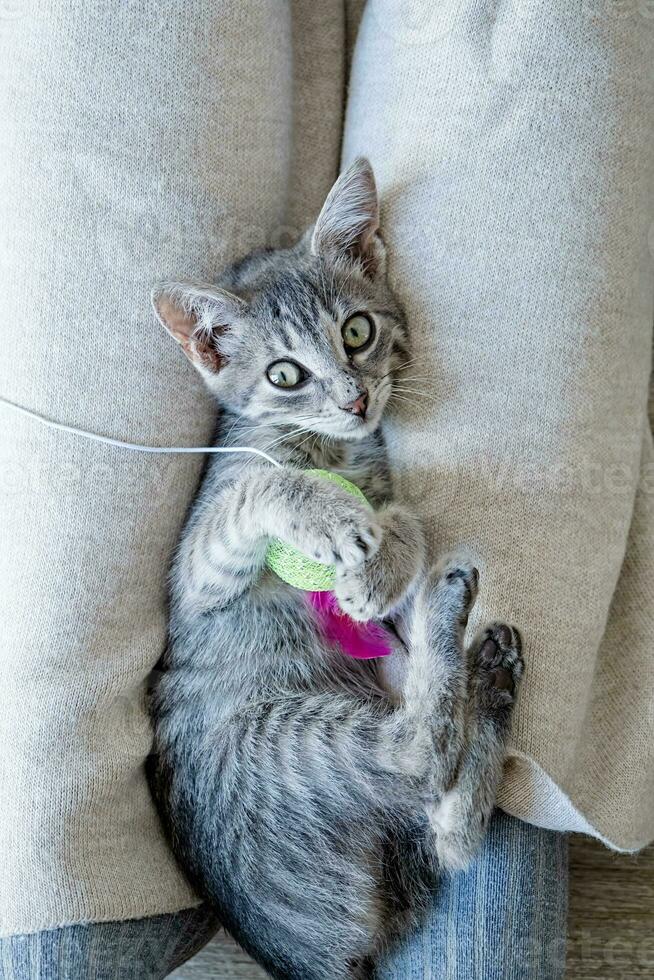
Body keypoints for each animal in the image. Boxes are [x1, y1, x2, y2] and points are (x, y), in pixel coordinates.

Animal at [147, 159, 524, 980]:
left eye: (357, 331)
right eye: (286, 374)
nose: (355, 400)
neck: (338, 450)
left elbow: (406, 517)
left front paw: (381, 563)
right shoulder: (197, 569)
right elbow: (264, 488)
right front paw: (334, 521)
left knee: (451, 828)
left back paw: (489, 670)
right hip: (295, 742)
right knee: (419, 757)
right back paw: (457, 616)